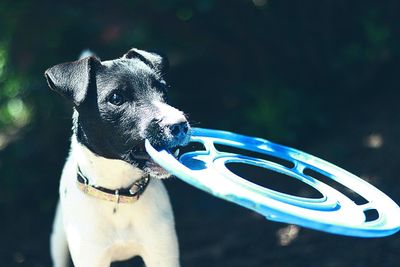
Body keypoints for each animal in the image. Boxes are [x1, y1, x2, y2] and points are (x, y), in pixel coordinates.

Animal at [45, 48, 191, 267]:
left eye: (163, 91)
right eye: (116, 98)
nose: (180, 125)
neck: (118, 194)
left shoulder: (161, 253)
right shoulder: (91, 256)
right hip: (58, 238)